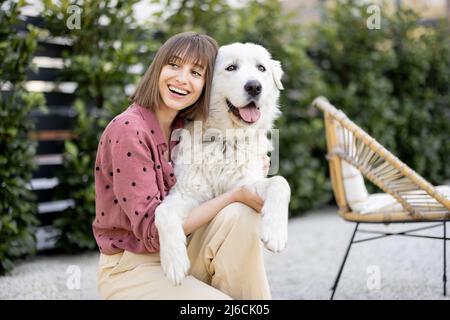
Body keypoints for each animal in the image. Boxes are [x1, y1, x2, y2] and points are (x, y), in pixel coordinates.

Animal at [154, 42, 292, 284]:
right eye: (231, 68)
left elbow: (280, 182)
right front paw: (174, 262)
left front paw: (275, 232)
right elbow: (161, 212)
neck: (225, 140)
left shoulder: (245, 185)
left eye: (261, 68)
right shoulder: (187, 194)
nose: (254, 86)